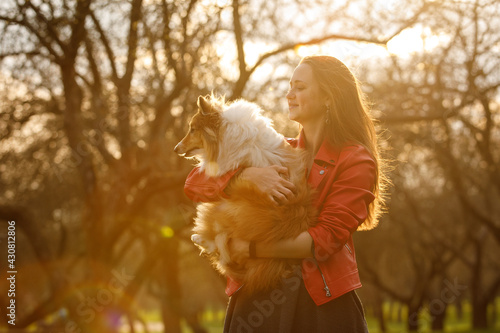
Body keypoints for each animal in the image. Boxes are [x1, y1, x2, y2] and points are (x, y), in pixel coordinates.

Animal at [176, 94, 316, 294]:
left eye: (192, 129)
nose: (175, 148)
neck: (225, 130)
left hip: (219, 207)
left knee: (218, 242)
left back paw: (198, 237)